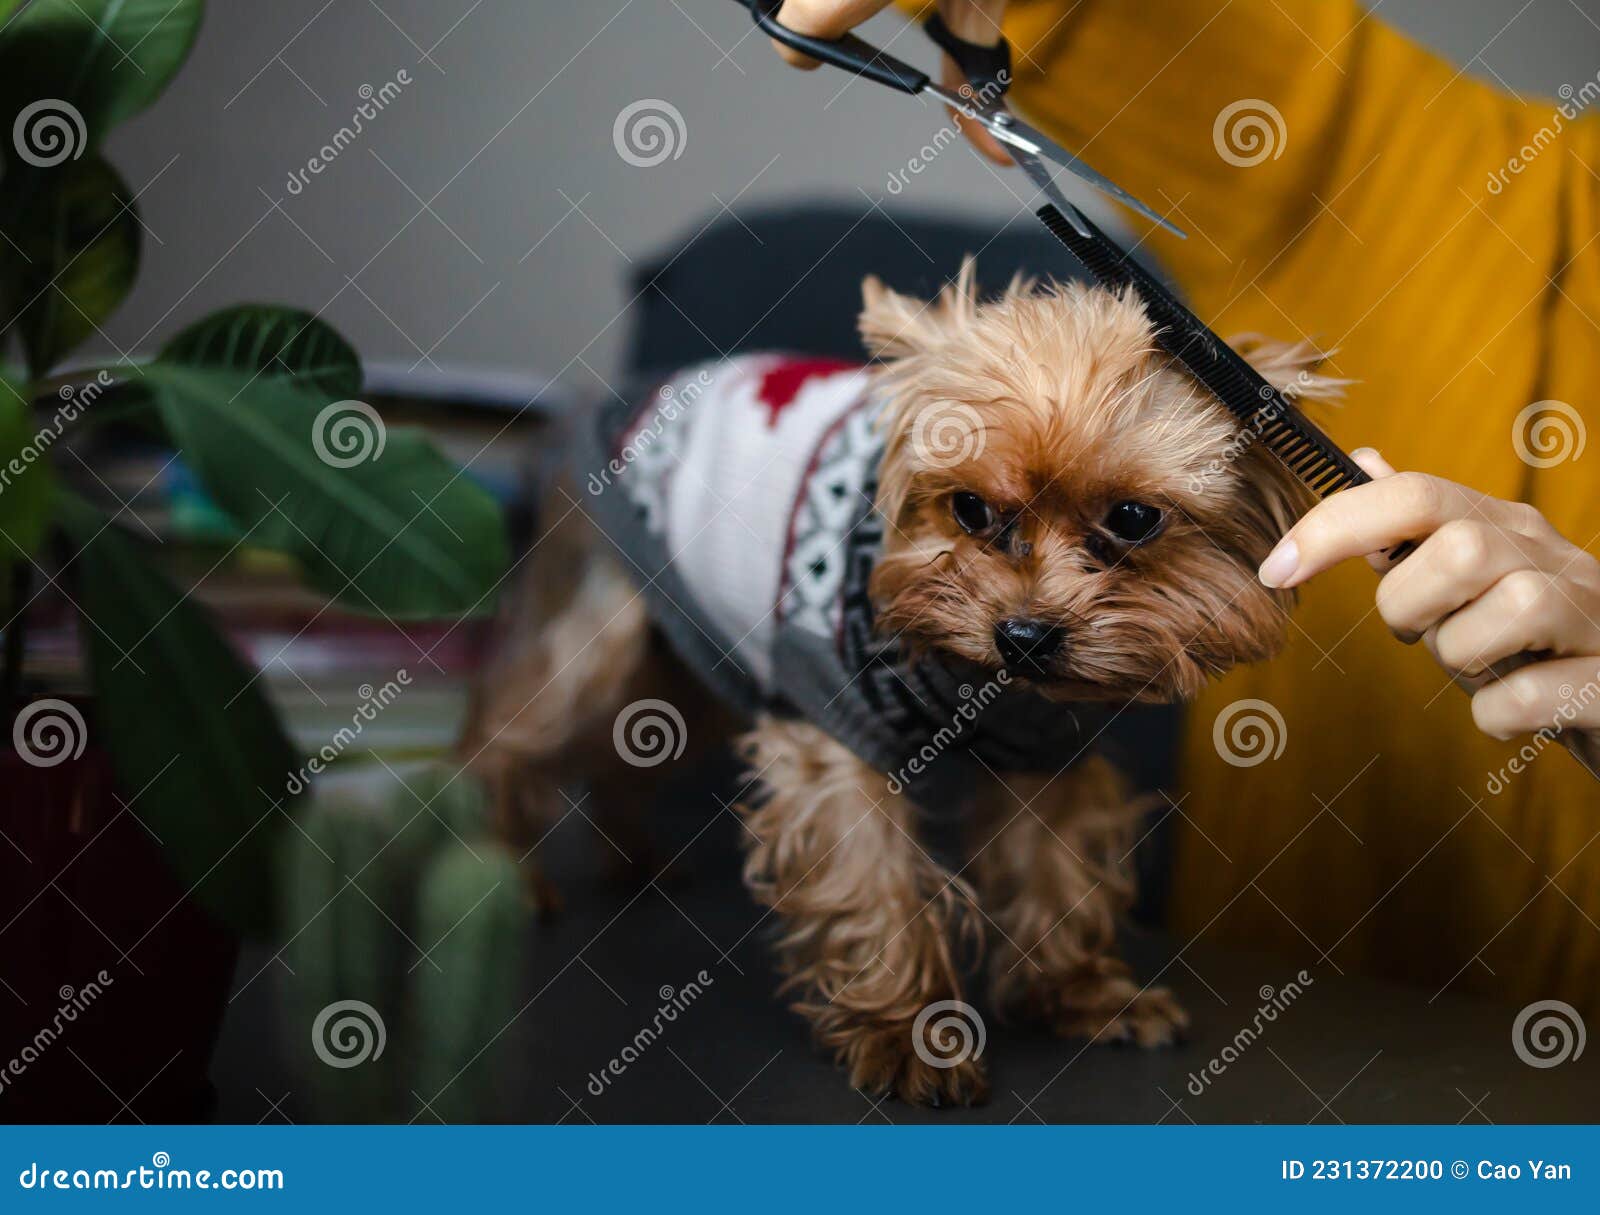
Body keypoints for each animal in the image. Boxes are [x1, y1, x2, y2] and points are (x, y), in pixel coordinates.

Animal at [464, 260, 1337, 1107]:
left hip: (686, 656)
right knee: (506, 729)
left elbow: (1054, 862)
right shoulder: (832, 721)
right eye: (970, 508)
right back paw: (504, 867)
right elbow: (871, 877)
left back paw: (637, 860)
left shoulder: (1047, 748)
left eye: (1132, 518)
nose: (1022, 636)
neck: (986, 684)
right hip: (603, 629)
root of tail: (616, 396)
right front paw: (905, 1034)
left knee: (628, 747)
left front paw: (1079, 994)